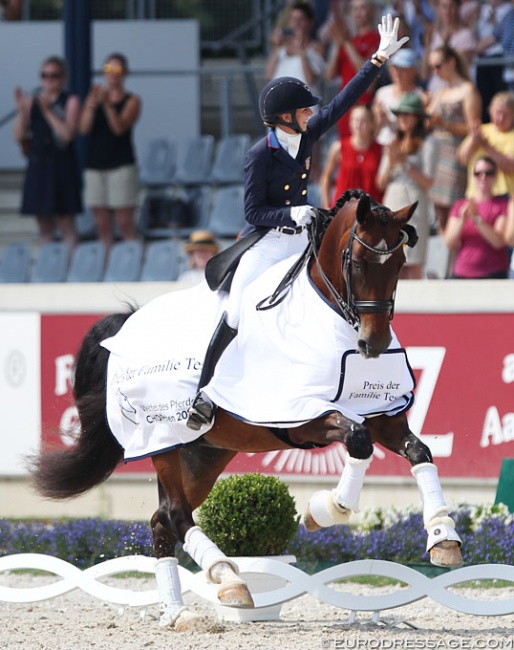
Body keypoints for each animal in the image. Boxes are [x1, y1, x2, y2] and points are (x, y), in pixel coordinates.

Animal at [27, 191, 460, 628]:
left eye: (400, 264)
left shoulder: (383, 414)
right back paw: (228, 579)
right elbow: (357, 439)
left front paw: (443, 538)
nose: (374, 344)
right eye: (355, 262)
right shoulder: (303, 417)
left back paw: (179, 613)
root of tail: (126, 326)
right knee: (176, 513)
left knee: (161, 520)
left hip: (204, 453)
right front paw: (326, 509)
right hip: (161, 439)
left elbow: (418, 451)